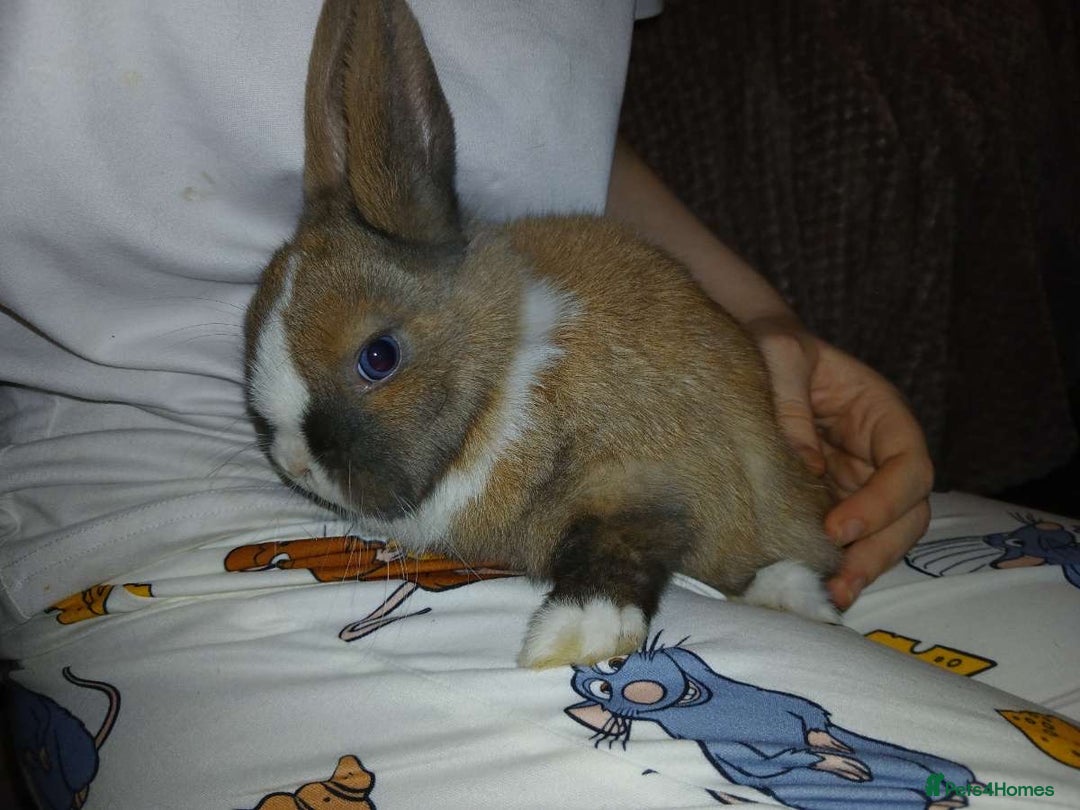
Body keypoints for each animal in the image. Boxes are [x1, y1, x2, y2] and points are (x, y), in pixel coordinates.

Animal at [245, 0, 842, 669]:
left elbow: (621, 544)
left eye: (378, 356)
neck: (502, 385)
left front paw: (568, 639)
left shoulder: (645, 473)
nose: (295, 464)